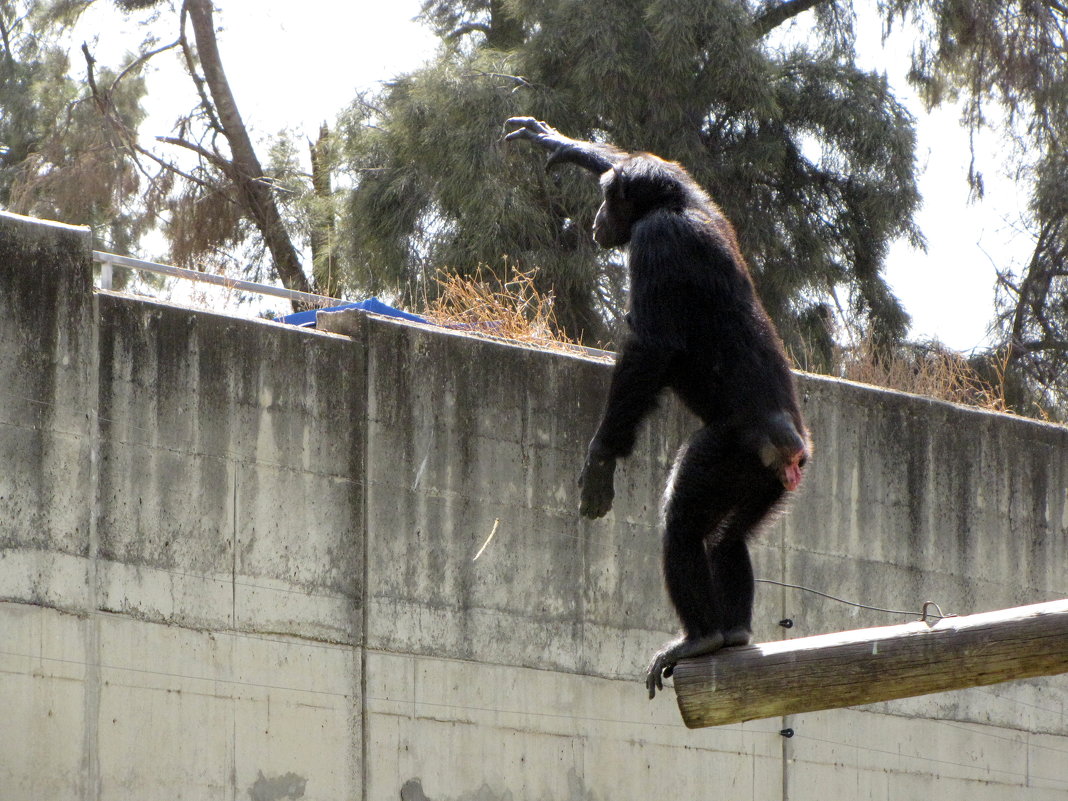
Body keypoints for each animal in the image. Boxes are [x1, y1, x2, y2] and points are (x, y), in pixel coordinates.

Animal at [504, 115, 811, 700]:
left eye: (609, 200)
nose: (598, 216)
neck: (670, 207)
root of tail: (788, 447)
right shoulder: (693, 189)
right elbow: (655, 159)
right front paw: (553, 139)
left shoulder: (658, 244)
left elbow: (651, 347)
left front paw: (600, 461)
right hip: (768, 483)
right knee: (728, 538)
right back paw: (733, 633)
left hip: (723, 454)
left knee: (684, 523)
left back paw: (700, 637)